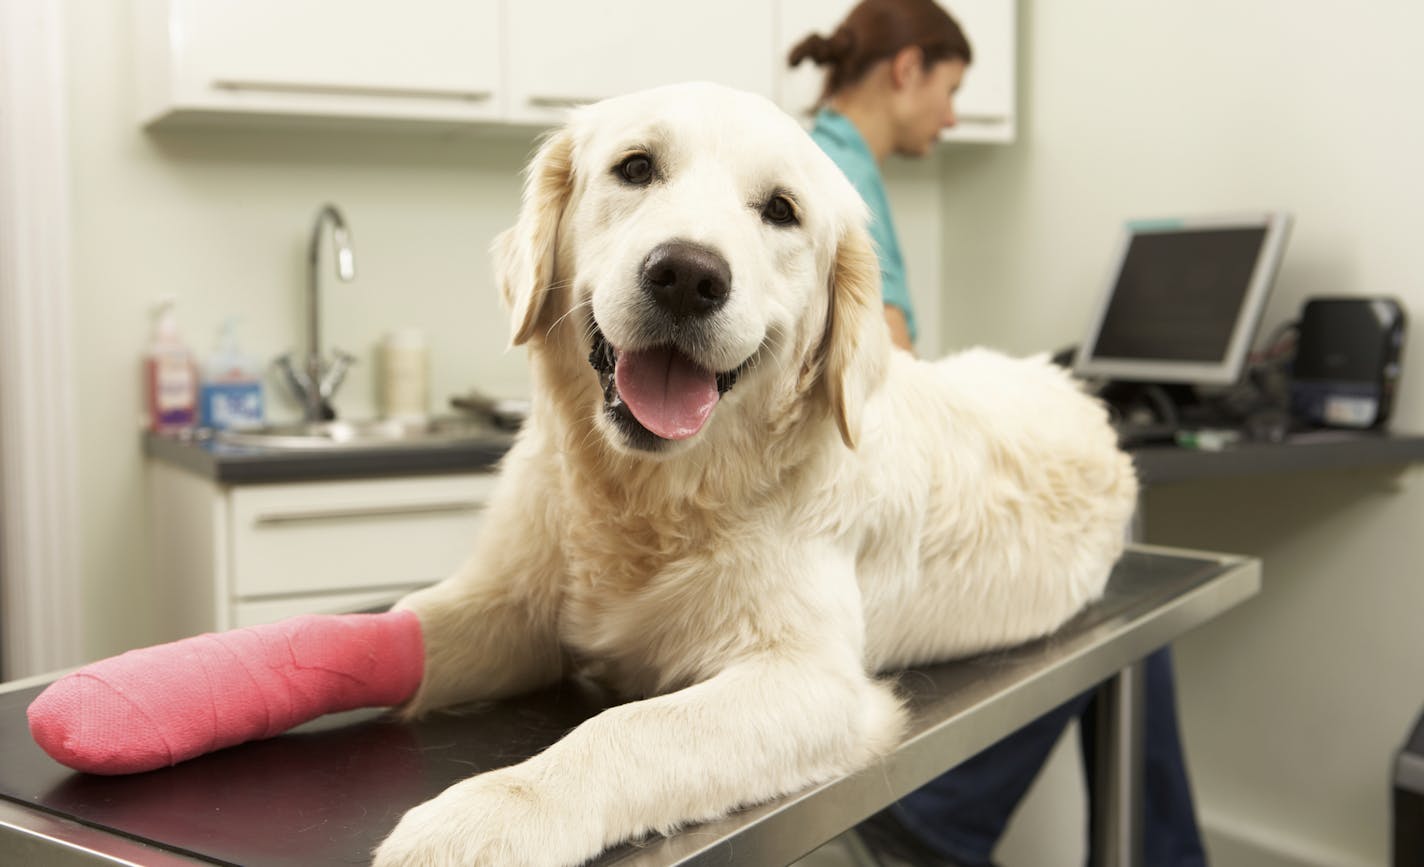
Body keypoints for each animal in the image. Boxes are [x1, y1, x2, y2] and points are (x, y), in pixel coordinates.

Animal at [373, 82, 1139, 865]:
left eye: (780, 210)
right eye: (636, 166)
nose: (687, 275)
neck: (653, 496)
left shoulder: (813, 680)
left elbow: (629, 728)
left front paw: (485, 816)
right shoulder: (513, 605)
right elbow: (410, 625)